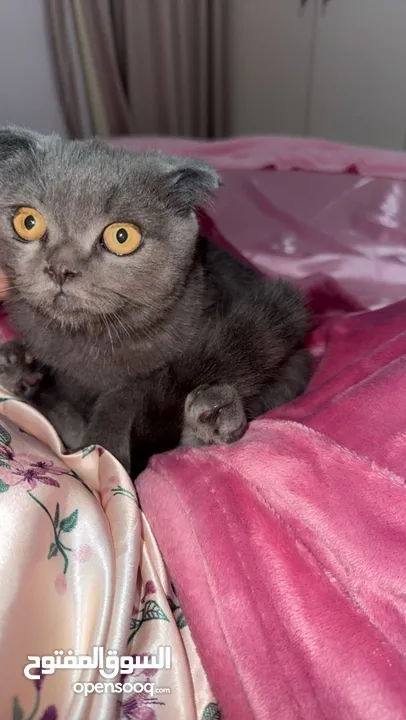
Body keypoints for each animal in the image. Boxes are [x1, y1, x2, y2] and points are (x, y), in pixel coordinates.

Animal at [0, 128, 310, 478]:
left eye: (122, 236)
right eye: (28, 222)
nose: (60, 268)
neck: (87, 342)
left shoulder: (148, 378)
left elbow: (118, 408)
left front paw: (103, 459)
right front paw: (18, 365)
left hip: (291, 363)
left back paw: (217, 412)